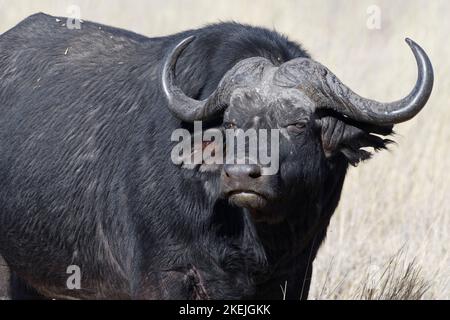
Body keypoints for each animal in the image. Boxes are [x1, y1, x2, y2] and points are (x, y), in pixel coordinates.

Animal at [0, 11, 434, 298]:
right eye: (231, 123)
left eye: (297, 123)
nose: (242, 176)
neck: (253, 240)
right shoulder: (164, 275)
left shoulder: (295, 274)